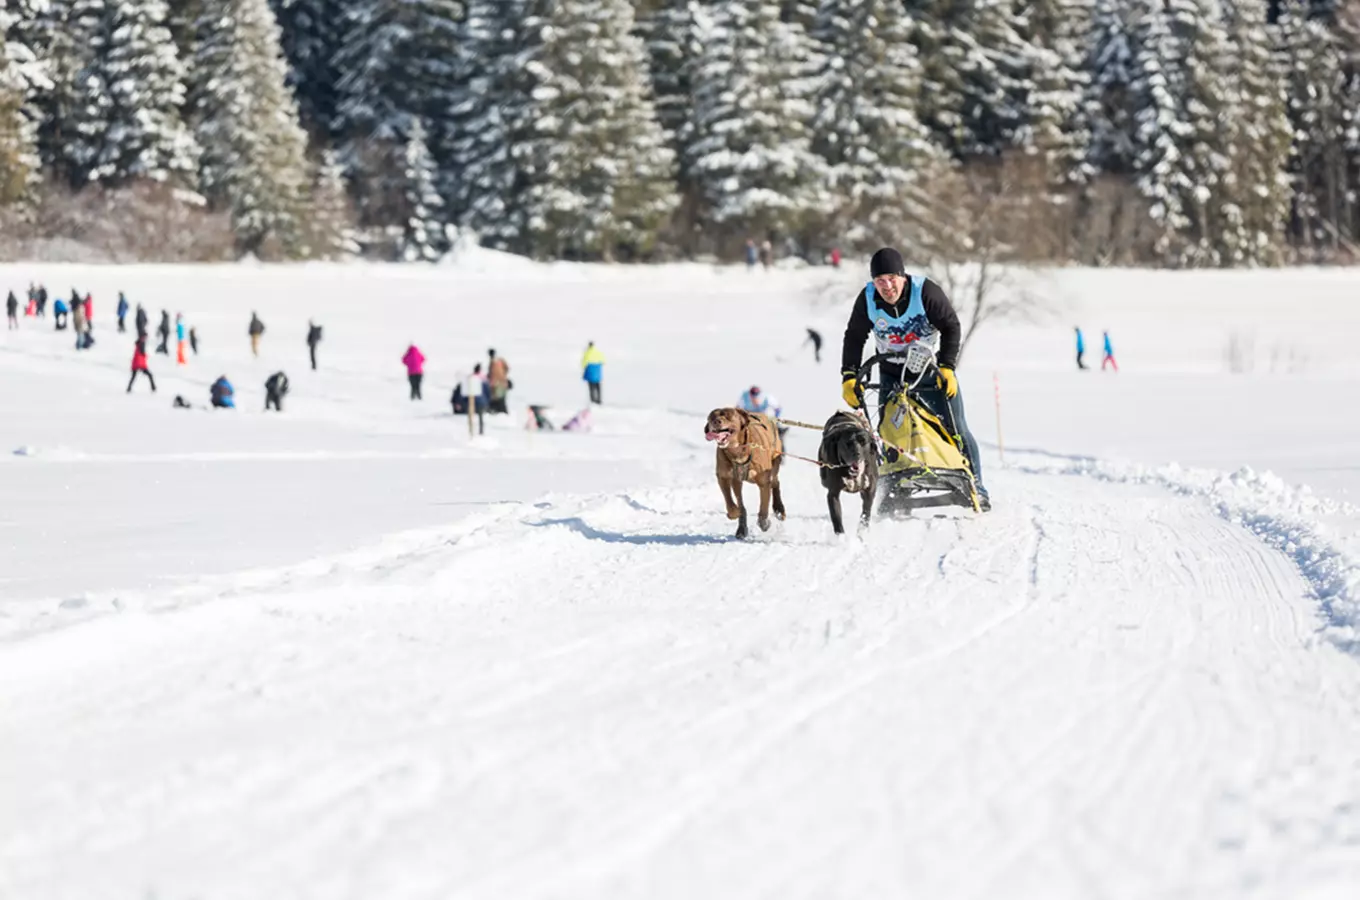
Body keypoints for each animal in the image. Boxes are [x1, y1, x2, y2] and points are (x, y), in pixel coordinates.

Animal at [707, 410, 783, 543]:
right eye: (712, 416)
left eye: (729, 415)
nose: (716, 421)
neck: (738, 451)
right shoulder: (724, 477)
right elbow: (730, 501)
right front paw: (734, 513)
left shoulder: (763, 481)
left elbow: (764, 505)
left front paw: (764, 522)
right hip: (738, 482)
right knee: (741, 502)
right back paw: (741, 528)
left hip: (774, 463)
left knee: (775, 483)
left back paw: (779, 509)